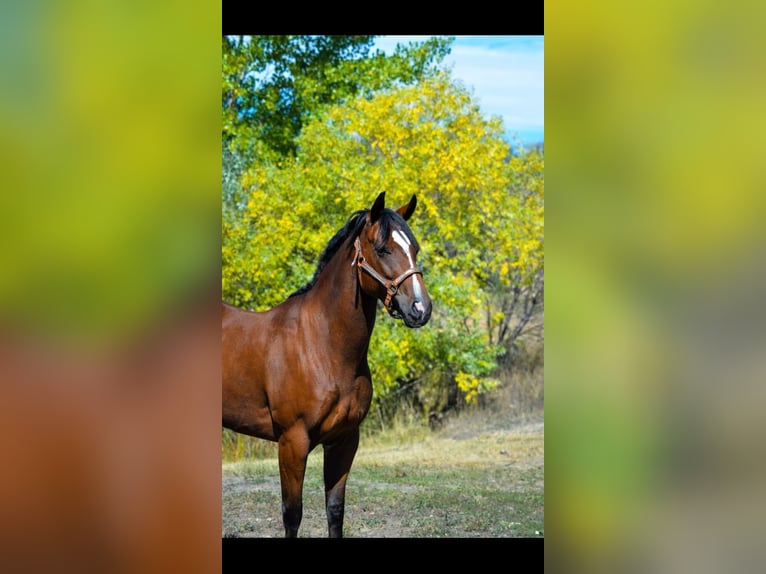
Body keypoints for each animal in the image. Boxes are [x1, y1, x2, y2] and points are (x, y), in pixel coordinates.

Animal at [222, 191, 432, 538]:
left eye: (414, 249)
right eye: (382, 248)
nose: (421, 308)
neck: (322, 347)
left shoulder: (344, 441)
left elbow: (335, 510)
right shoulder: (292, 442)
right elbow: (292, 514)